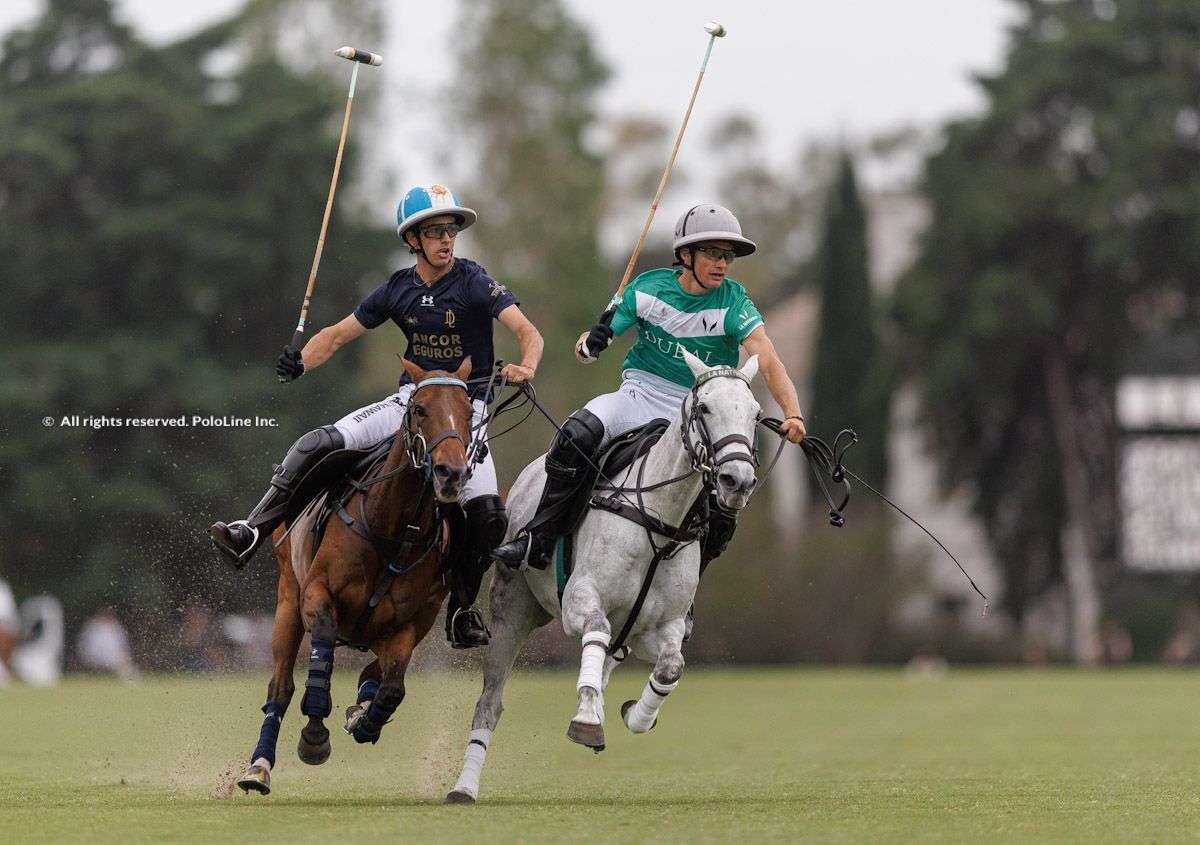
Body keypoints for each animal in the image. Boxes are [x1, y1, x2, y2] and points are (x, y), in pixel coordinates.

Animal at [236, 360, 475, 796]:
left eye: (469, 414)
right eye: (419, 409)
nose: (451, 473)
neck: (394, 529)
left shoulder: (410, 624)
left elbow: (393, 686)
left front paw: (365, 721)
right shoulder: (317, 594)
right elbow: (320, 663)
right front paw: (315, 735)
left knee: (374, 674)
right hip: (287, 599)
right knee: (281, 686)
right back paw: (258, 767)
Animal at [446, 350, 763, 806]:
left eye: (756, 413)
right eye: (704, 408)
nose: (737, 481)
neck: (659, 516)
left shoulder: (661, 625)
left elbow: (671, 666)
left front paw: (636, 715)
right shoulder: (580, 601)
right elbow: (594, 630)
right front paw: (586, 719)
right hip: (512, 612)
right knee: (490, 702)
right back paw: (464, 788)